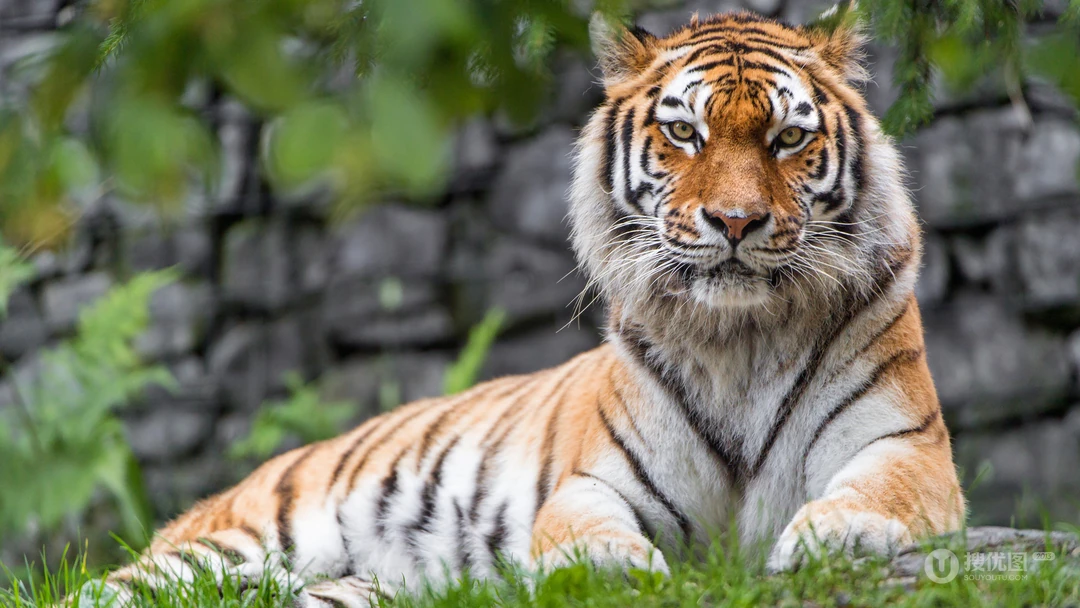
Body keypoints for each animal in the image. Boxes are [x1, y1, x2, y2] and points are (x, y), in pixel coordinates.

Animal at [97, 6, 965, 607]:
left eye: (788, 138)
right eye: (685, 132)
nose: (736, 221)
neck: (738, 339)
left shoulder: (907, 446)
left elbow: (876, 491)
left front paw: (837, 534)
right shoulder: (594, 479)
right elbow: (580, 527)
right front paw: (610, 567)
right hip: (239, 541)